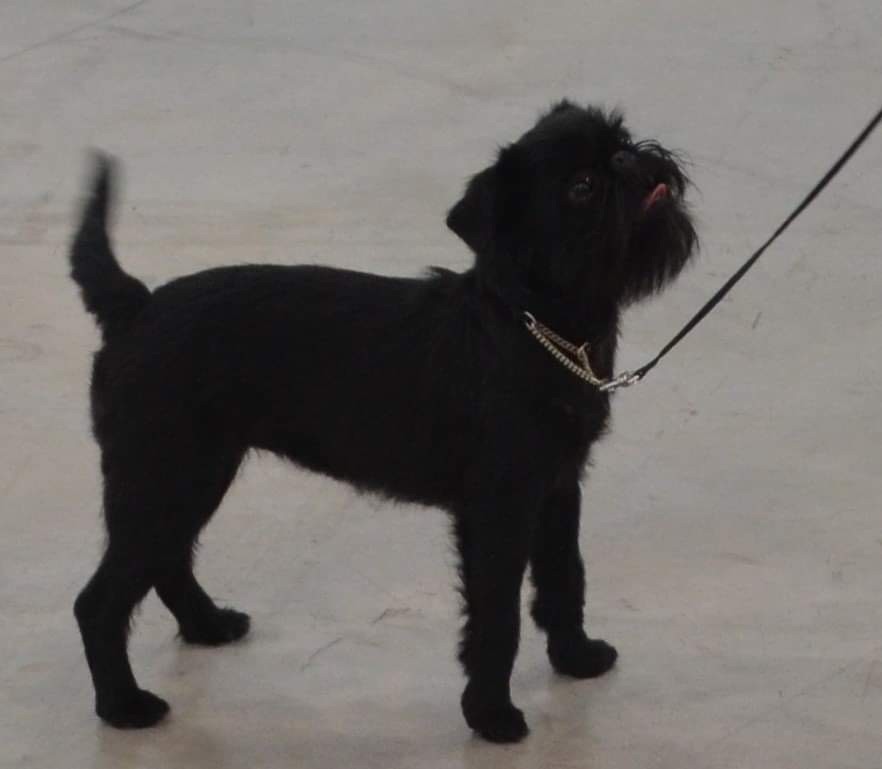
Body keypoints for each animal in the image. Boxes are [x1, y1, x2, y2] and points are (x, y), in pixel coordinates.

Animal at [70, 101, 696, 743]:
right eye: (582, 187)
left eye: (620, 141)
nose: (629, 160)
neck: (533, 323)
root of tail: (135, 307)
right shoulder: (499, 509)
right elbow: (497, 615)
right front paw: (490, 714)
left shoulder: (557, 489)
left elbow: (565, 578)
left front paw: (576, 658)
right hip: (167, 478)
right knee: (101, 600)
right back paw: (123, 704)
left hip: (189, 480)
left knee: (166, 560)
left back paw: (207, 626)